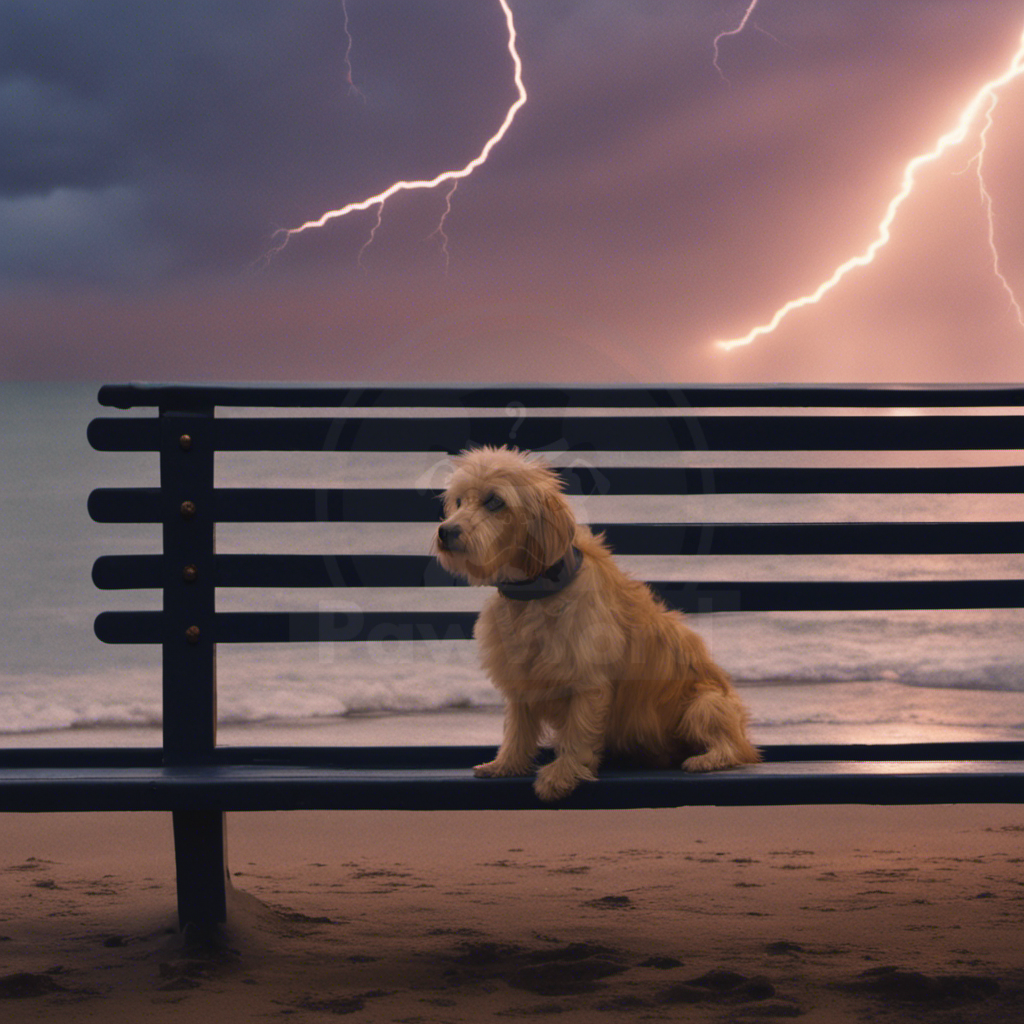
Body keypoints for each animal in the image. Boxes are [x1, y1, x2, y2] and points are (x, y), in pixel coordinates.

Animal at [432, 446, 761, 798]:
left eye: (495, 501)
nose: (446, 531)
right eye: (459, 501)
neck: (536, 593)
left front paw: (562, 773)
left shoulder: (587, 682)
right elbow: (518, 728)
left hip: (705, 705)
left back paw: (708, 758)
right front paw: (506, 764)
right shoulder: (521, 677)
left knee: (736, 749)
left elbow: (578, 731)